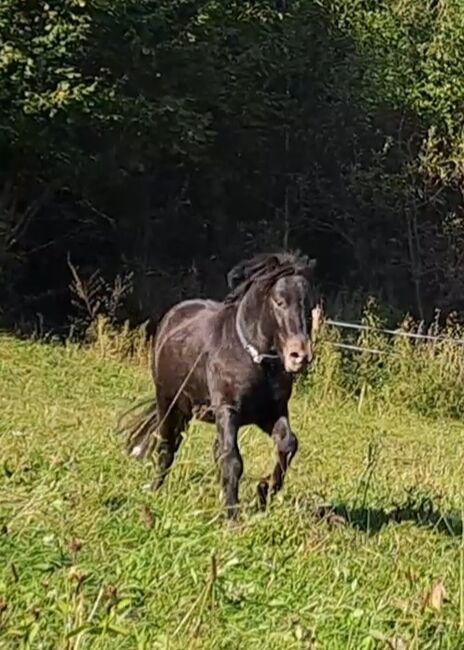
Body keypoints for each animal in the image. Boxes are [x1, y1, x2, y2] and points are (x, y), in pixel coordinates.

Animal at [121, 251, 318, 520]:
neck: (252, 359)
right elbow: (232, 460)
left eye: (308, 305)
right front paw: (233, 517)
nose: (300, 355)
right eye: (279, 302)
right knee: (167, 446)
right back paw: (155, 490)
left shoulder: (271, 412)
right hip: (169, 403)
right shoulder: (227, 410)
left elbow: (288, 444)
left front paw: (263, 491)